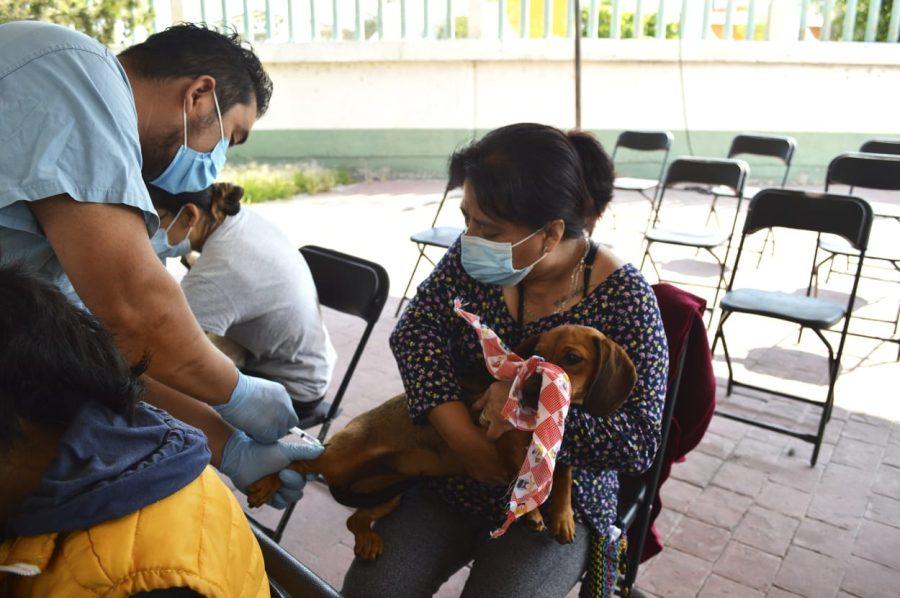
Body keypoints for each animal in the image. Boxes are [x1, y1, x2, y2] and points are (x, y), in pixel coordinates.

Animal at [246, 326, 636, 560]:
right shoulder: (504, 442)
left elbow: (564, 479)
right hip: (337, 458)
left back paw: (367, 539)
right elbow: (522, 474)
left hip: (390, 494)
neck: (543, 426)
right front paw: (534, 511)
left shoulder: (564, 453)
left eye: (572, 358)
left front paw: (563, 517)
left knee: (355, 519)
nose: (526, 391)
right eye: (534, 355)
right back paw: (266, 482)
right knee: (295, 463)